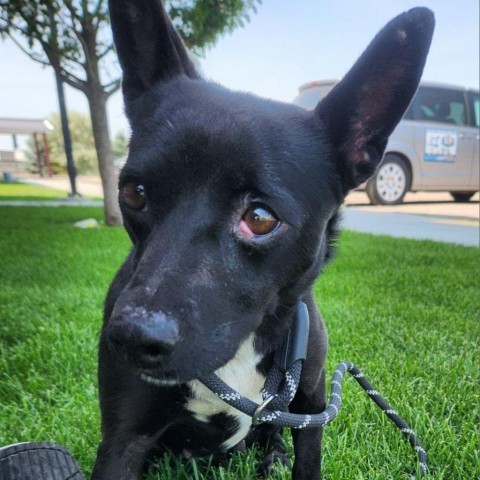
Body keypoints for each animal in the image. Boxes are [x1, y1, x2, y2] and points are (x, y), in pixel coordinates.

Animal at [92, 1, 434, 478]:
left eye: (259, 218)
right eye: (134, 193)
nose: (132, 338)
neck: (242, 349)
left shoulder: (310, 407)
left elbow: (307, 459)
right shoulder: (123, 439)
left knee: (272, 435)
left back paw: (272, 455)